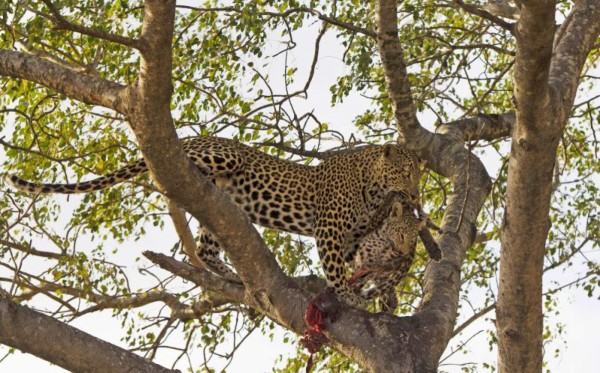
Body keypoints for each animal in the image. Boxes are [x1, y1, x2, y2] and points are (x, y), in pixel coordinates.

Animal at [7, 135, 424, 306]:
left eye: (418, 175)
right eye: (406, 173)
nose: (417, 196)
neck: (372, 187)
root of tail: (192, 139)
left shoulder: (355, 236)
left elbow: (360, 263)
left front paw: (380, 292)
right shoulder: (330, 231)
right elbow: (336, 268)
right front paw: (348, 295)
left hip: (220, 213)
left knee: (206, 250)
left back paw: (231, 274)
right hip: (223, 156)